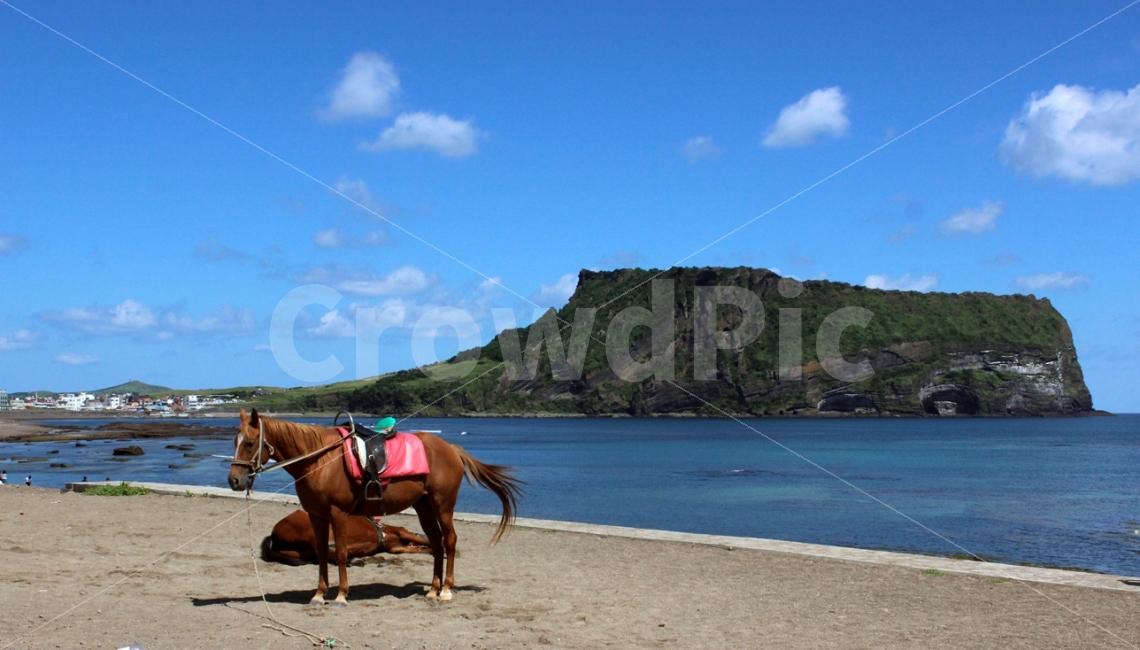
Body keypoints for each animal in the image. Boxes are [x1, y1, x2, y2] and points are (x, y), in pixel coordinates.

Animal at [261, 509, 431, 566]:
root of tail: (274, 535)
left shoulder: (396, 547)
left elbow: (419, 548)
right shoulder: (402, 533)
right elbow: (426, 541)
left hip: (298, 552)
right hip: (312, 530)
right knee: (323, 551)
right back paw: (353, 559)